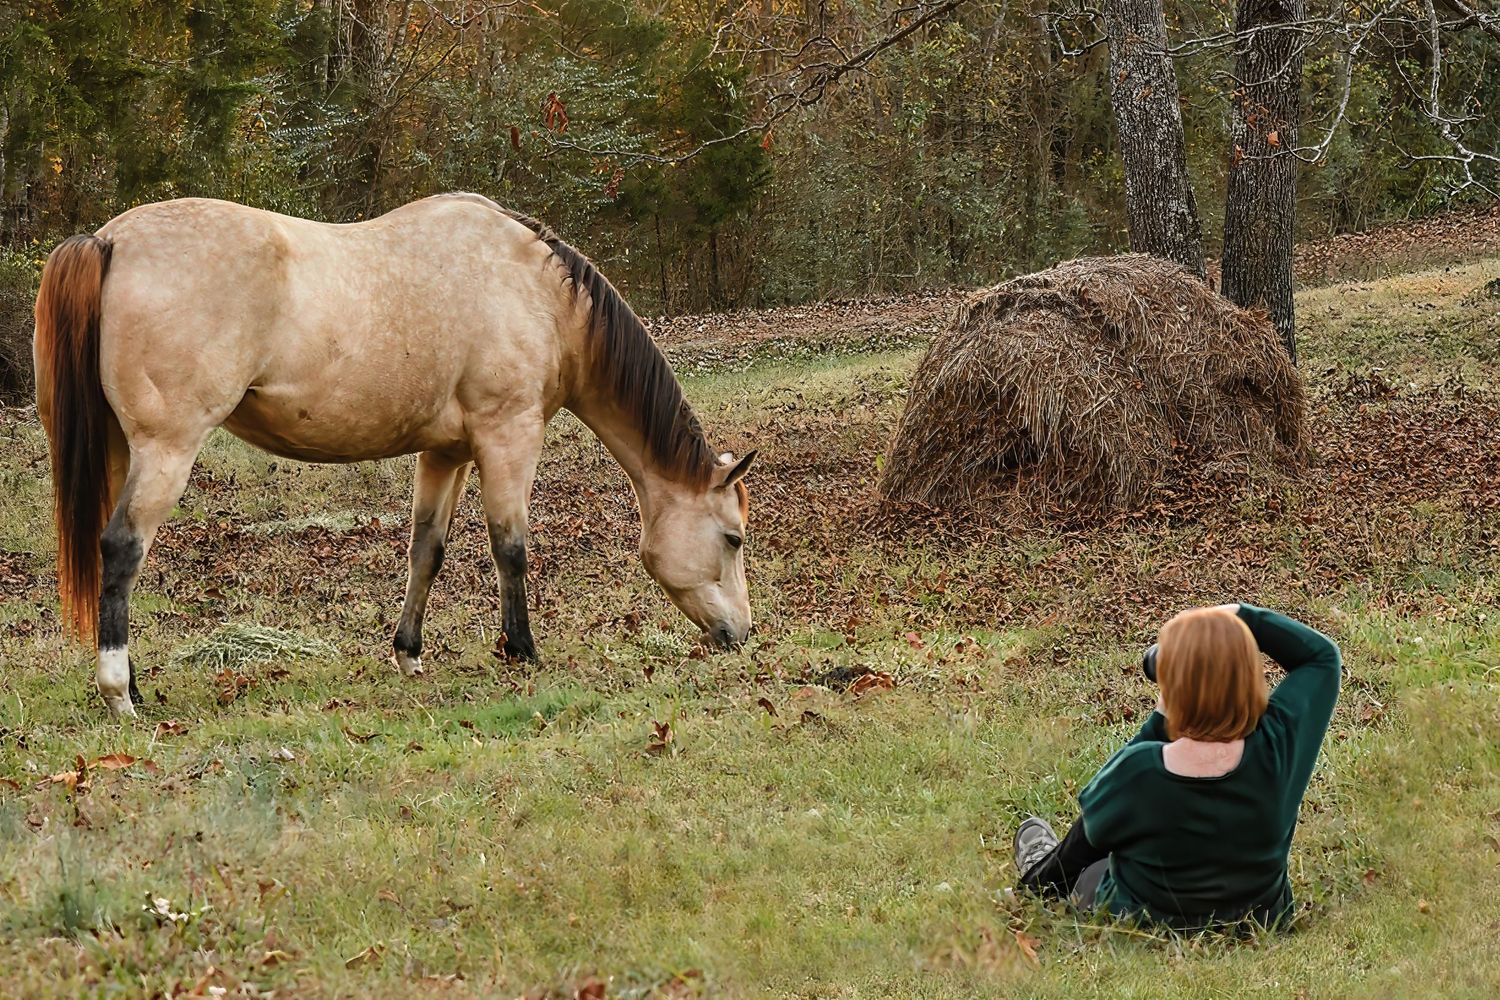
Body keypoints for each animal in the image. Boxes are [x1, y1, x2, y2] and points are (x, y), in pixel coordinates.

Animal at [33, 193, 756, 717]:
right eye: (733, 538)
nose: (741, 637)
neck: (537, 293)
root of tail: (108, 240)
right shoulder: (509, 436)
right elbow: (511, 546)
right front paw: (522, 651)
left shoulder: (446, 453)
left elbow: (426, 549)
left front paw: (409, 653)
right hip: (166, 450)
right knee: (122, 548)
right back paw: (120, 695)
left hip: (121, 450)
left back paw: (135, 684)